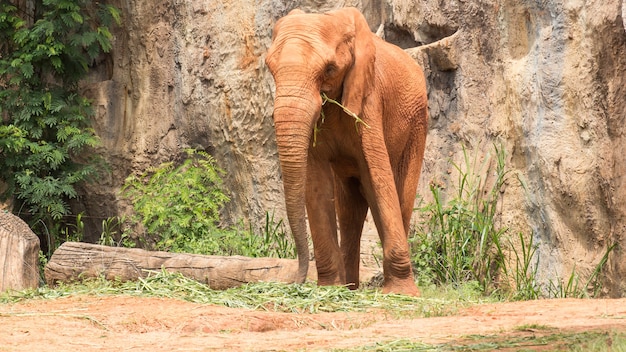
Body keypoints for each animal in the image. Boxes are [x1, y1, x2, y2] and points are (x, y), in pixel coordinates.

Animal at [260, 6, 426, 296]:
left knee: (400, 196)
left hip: (418, 123)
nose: (295, 280)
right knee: (350, 210)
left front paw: (401, 294)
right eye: (270, 67)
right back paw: (350, 287)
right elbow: (315, 182)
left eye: (329, 69)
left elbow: (378, 177)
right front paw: (330, 288)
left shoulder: (370, 100)